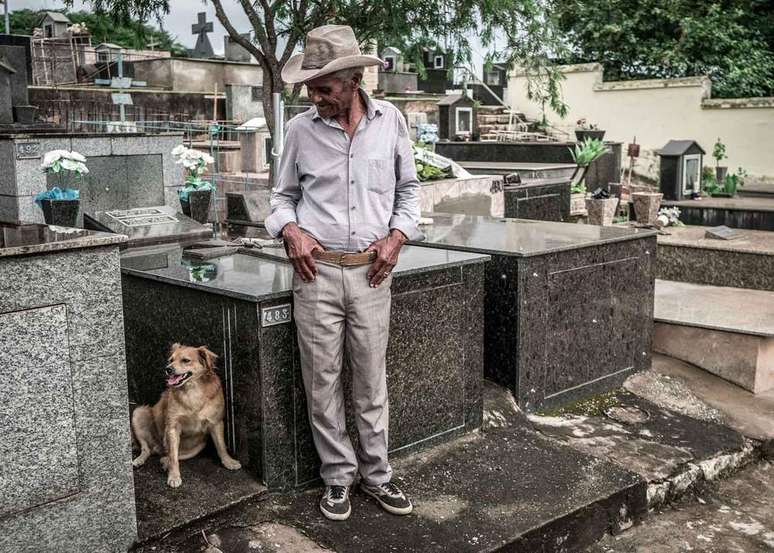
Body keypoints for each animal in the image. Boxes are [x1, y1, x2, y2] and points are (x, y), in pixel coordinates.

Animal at [130, 342, 242, 486]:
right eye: (170, 360)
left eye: (186, 360)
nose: (168, 369)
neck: (192, 390)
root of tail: (158, 448)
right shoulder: (172, 427)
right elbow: (173, 456)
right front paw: (174, 476)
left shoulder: (216, 422)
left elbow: (221, 446)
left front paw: (229, 461)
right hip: (139, 413)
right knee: (147, 449)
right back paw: (139, 460)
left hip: (199, 446)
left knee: (168, 455)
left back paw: (164, 462)